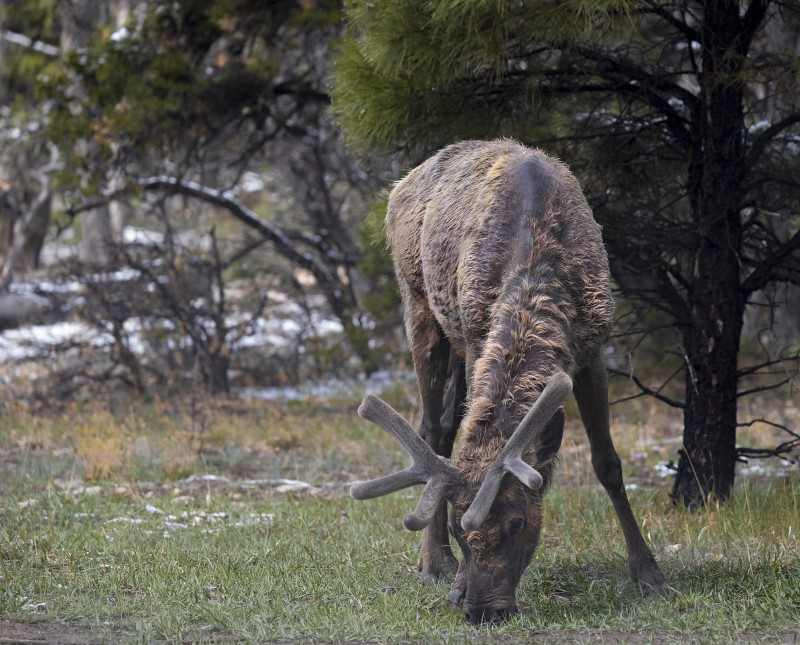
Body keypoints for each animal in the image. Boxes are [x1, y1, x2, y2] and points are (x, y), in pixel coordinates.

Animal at [351, 139, 668, 625]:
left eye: (517, 522)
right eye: (461, 530)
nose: (483, 610)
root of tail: (399, 184)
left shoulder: (593, 348)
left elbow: (608, 464)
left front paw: (648, 573)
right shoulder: (477, 334)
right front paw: (456, 582)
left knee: (445, 426)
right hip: (420, 306)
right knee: (431, 427)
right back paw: (432, 563)